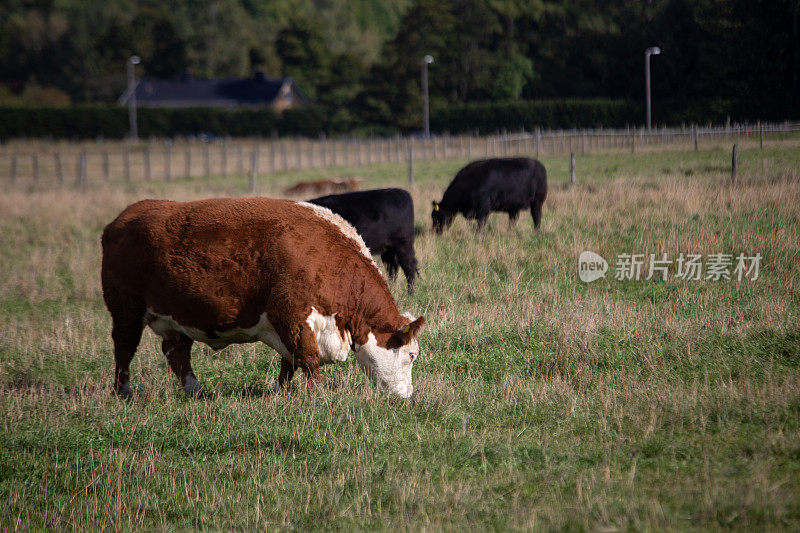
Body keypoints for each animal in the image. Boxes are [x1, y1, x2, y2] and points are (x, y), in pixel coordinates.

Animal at [101, 197, 424, 396]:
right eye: (411, 355)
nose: (407, 396)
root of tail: (122, 218)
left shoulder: (290, 325)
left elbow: (289, 362)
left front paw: (282, 391)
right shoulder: (293, 317)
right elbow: (307, 358)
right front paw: (318, 395)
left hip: (177, 316)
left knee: (176, 353)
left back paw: (196, 391)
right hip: (127, 310)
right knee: (124, 348)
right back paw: (123, 391)